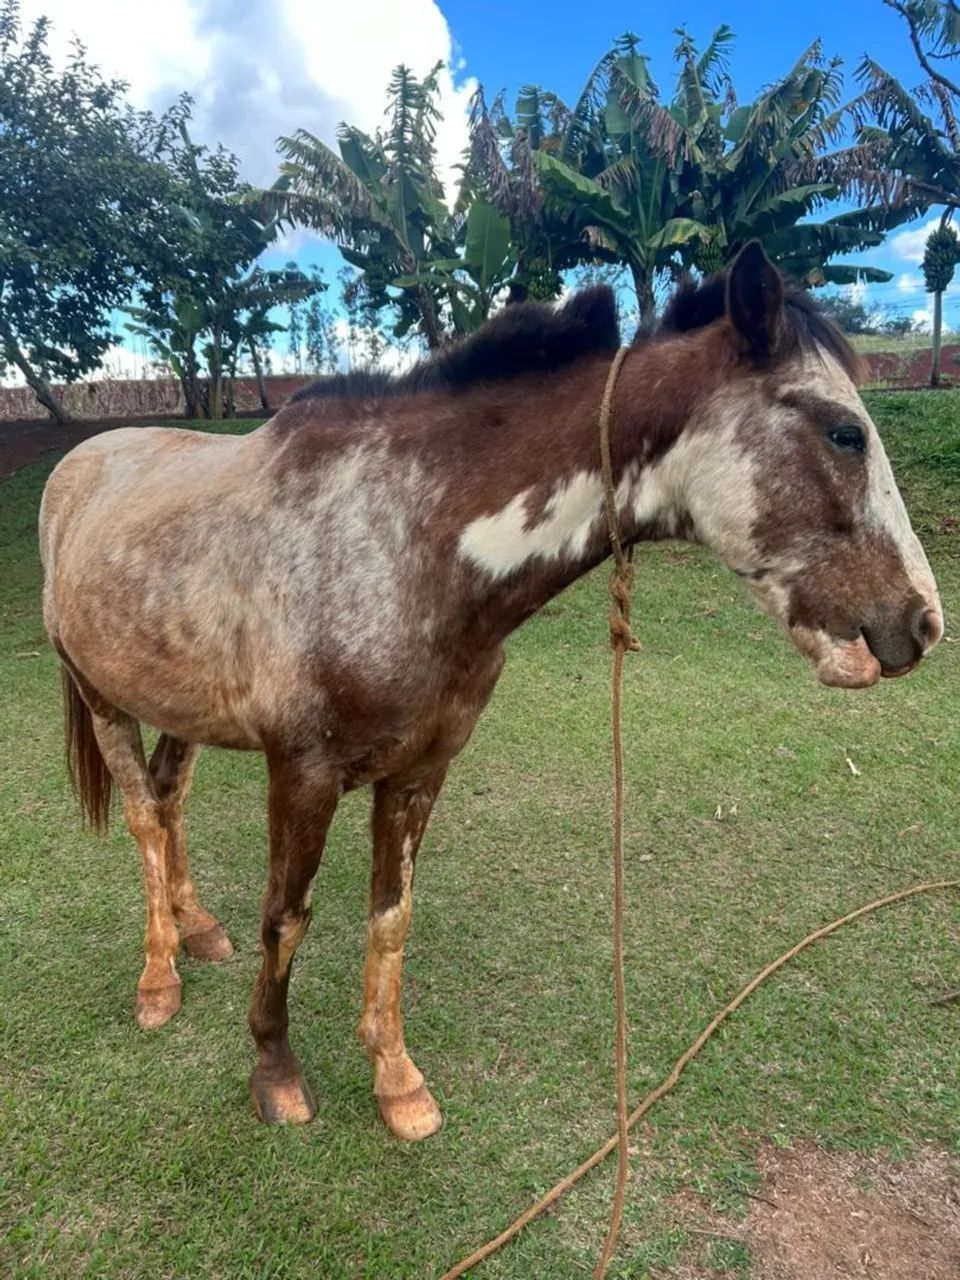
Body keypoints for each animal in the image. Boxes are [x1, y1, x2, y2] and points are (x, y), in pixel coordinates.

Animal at [39, 242, 943, 1141]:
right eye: (845, 433)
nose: (921, 623)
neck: (406, 540)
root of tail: (80, 463)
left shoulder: (420, 772)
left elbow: (391, 915)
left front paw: (395, 1077)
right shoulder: (303, 773)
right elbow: (286, 917)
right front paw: (275, 1067)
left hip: (177, 704)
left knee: (170, 801)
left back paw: (194, 930)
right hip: (101, 696)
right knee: (145, 818)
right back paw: (159, 979)